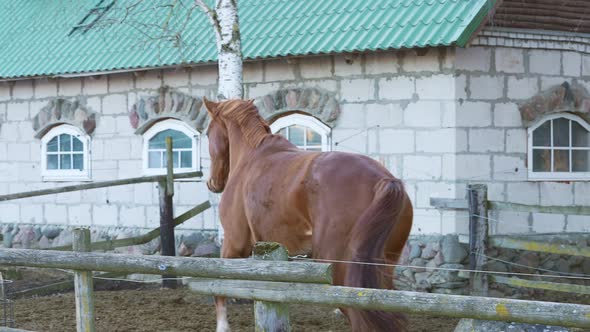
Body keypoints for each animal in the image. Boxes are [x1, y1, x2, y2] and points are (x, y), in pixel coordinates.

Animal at [206, 97, 414, 330]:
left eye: (207, 132)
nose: (213, 182)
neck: (251, 157)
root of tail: (384, 179)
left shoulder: (234, 244)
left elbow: (218, 287)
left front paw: (222, 326)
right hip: (382, 269)